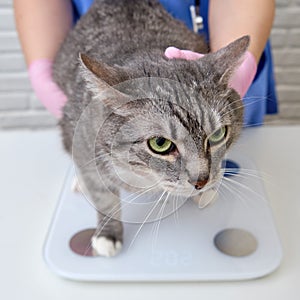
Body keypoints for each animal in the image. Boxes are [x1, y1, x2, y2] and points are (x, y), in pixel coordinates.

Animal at [52, 0, 247, 258]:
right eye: (160, 144)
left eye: (217, 135)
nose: (201, 182)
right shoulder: (81, 141)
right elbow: (103, 196)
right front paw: (107, 234)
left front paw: (208, 189)